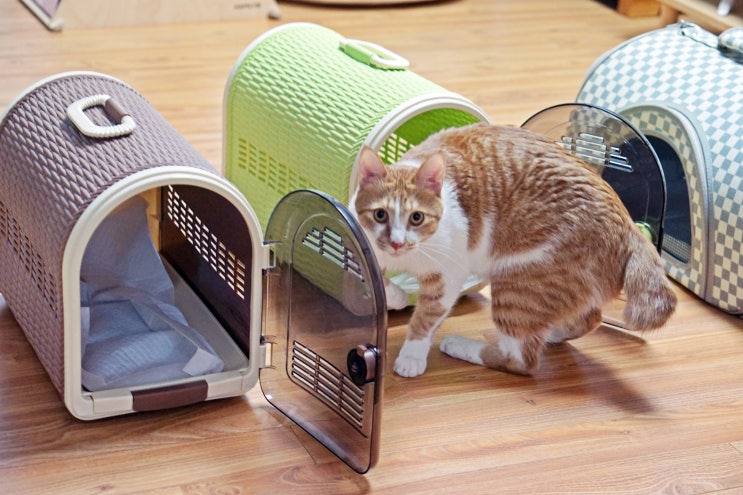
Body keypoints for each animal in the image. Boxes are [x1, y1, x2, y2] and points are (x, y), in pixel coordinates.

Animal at [348, 123, 677, 378]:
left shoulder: (447, 276)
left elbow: (426, 317)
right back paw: (552, 333)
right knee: (589, 317)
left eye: (416, 217)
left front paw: (412, 355)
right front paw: (396, 296)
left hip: (517, 281)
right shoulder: (366, 249)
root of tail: (629, 227)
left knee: (522, 360)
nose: (396, 242)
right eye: (380, 215)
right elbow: (377, 280)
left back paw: (462, 345)